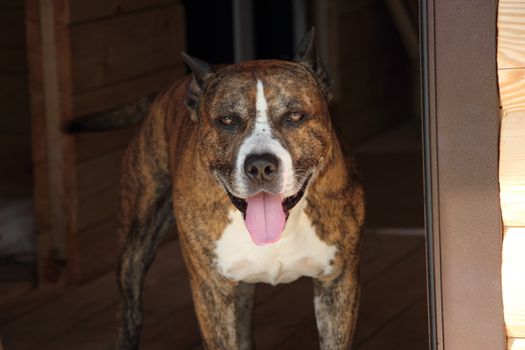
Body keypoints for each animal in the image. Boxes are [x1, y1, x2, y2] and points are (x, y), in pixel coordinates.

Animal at [112, 30, 362, 350]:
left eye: (295, 116)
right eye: (227, 120)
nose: (260, 166)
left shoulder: (337, 283)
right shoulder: (211, 291)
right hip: (135, 245)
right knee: (131, 312)